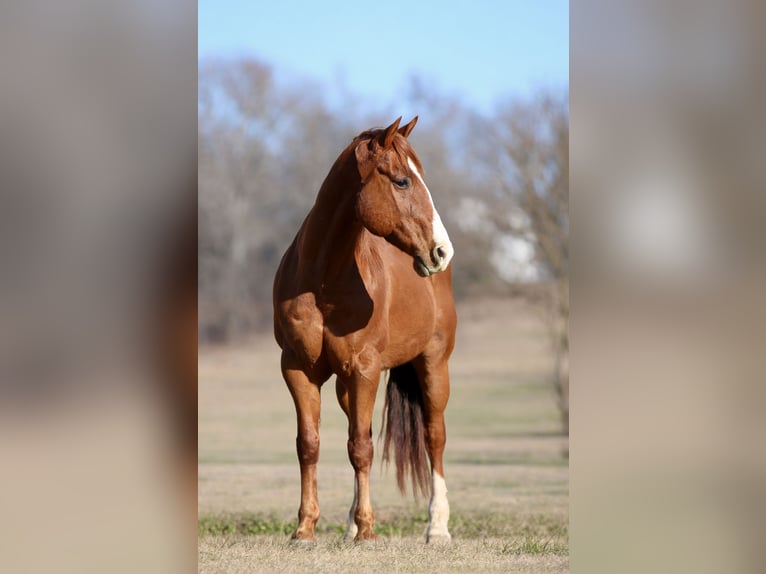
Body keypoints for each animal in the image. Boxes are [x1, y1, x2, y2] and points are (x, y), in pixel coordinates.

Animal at [273, 116, 457, 544]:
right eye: (402, 181)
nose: (442, 250)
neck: (322, 281)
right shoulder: (298, 369)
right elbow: (310, 444)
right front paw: (305, 529)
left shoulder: (365, 369)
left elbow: (361, 449)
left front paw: (368, 531)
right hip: (346, 384)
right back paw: (351, 524)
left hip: (433, 365)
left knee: (434, 437)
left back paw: (436, 527)